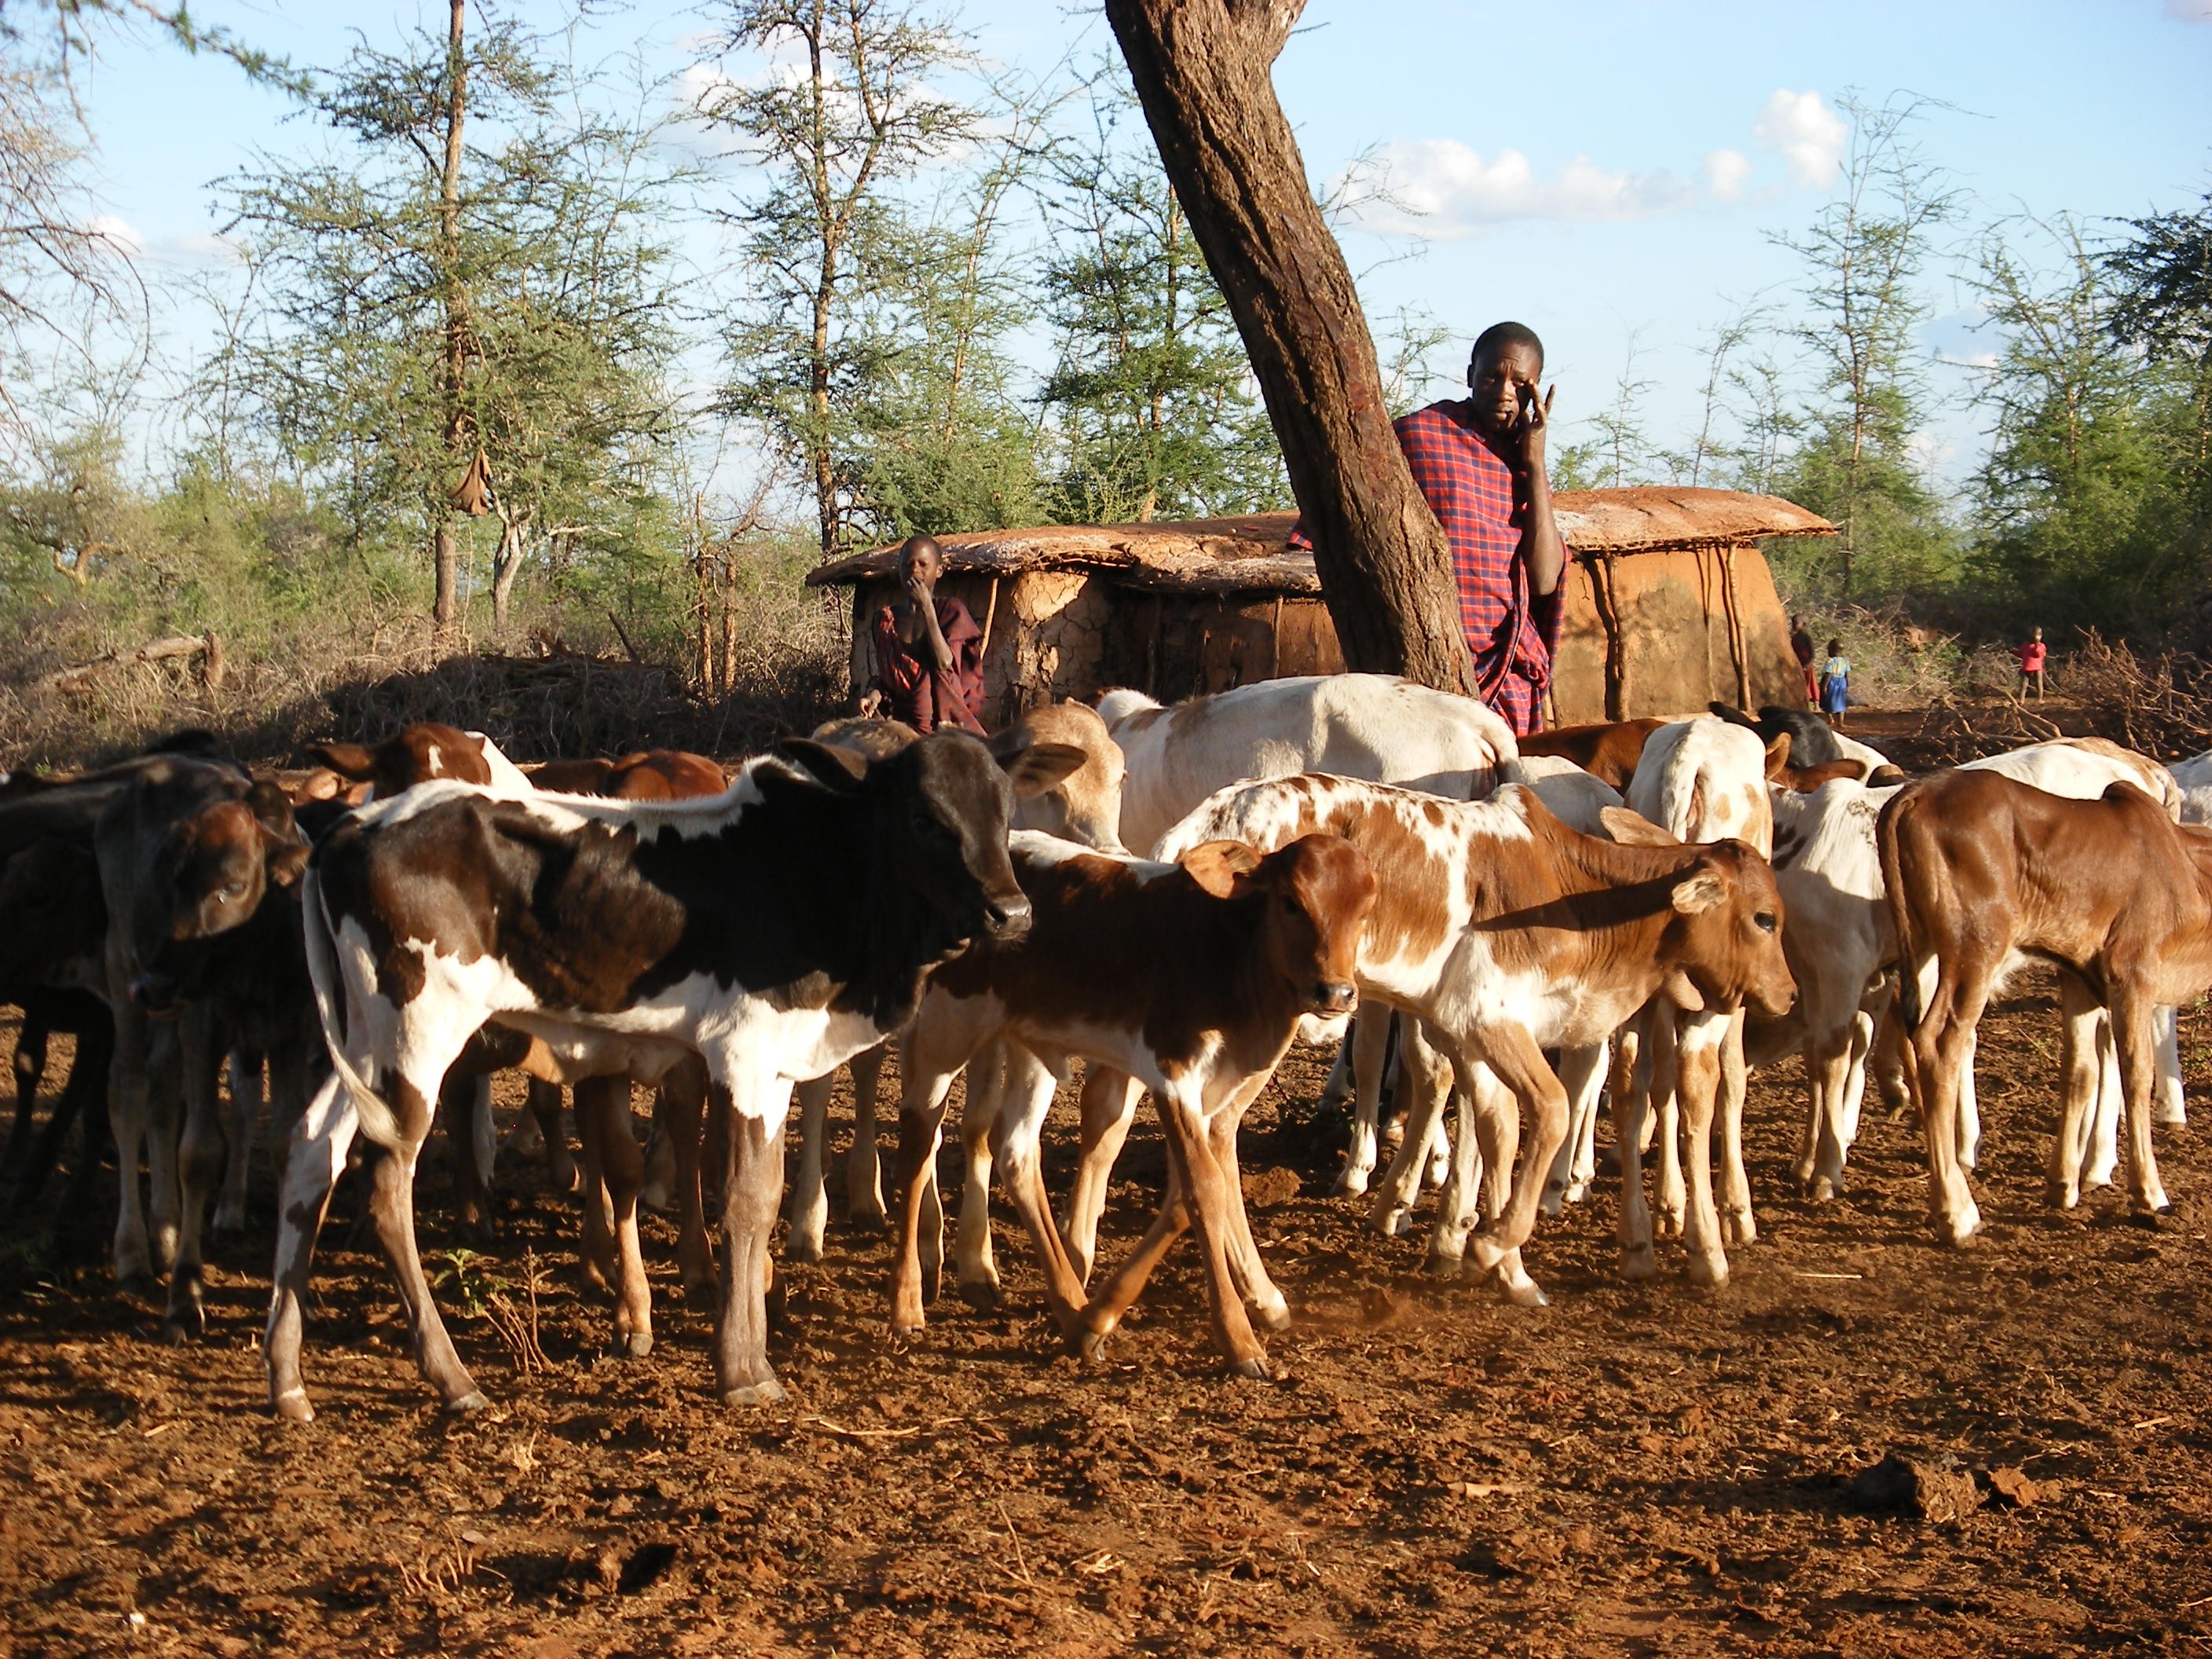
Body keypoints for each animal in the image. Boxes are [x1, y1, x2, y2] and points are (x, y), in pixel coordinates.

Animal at [876, 831, 1362, 1380]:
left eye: (1365, 909)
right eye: (1291, 902)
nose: (1336, 992)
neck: (1229, 949)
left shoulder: (1221, 1098)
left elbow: (1192, 1193)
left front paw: (1098, 1318)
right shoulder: (1173, 1075)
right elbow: (1202, 1188)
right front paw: (1241, 1343)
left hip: (1030, 1042)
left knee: (1015, 1150)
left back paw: (1071, 1308)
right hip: (947, 1027)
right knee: (918, 1142)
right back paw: (907, 1303)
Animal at [1150, 778, 1787, 1300]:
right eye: (1765, 919)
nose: (1787, 993)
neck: (1573, 892)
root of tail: (1187, 838)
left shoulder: (1465, 1030)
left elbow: (1496, 1123)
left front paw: (1500, 1263)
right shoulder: (1493, 1019)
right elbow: (1550, 1108)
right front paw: (1490, 1242)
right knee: (1213, 1128)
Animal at [1875, 774, 2212, 1238]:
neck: (2188, 869)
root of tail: (1916, 794)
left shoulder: (2080, 982)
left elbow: (2080, 1074)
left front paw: (2063, 1185)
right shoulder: (2133, 976)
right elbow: (2137, 1075)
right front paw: (2149, 1193)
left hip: (1922, 944)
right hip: (1975, 948)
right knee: (1938, 1044)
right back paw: (1956, 1212)